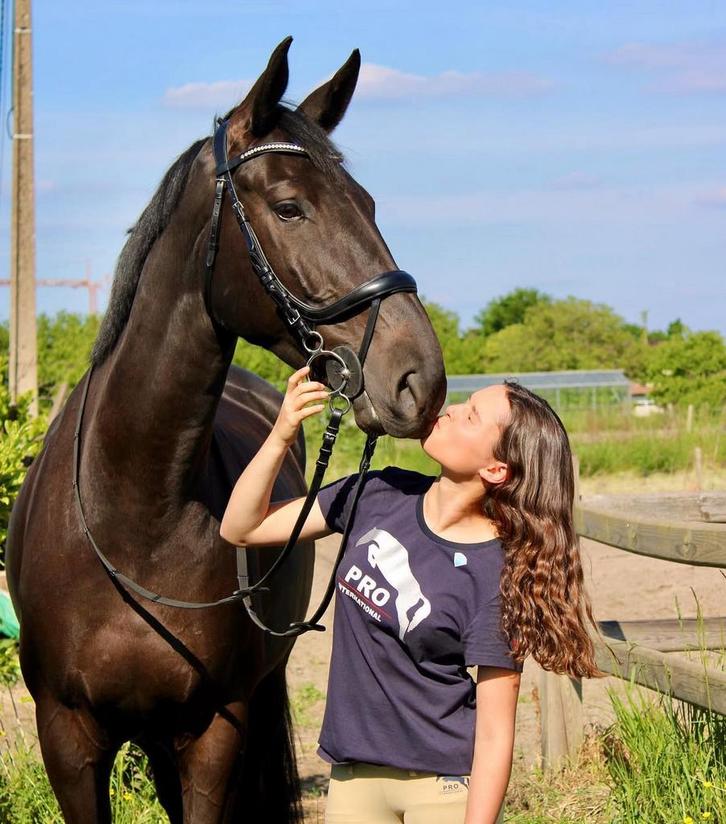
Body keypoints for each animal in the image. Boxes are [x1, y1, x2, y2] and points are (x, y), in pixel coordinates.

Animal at [5, 37, 445, 824]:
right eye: (290, 207)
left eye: (367, 204)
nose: (419, 377)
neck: (135, 511)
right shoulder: (67, 738)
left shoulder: (214, 732)